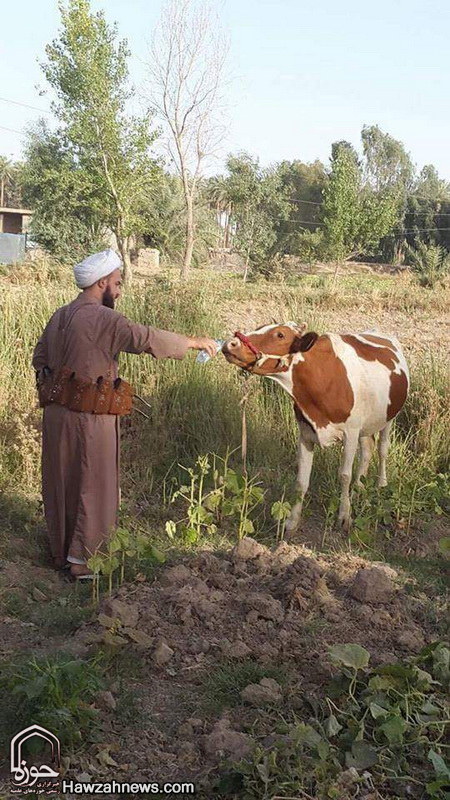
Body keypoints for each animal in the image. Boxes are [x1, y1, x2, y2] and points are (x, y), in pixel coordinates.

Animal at [223, 322, 410, 536]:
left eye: (280, 335)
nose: (231, 343)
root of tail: (377, 331)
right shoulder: (305, 434)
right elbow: (301, 481)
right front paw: (292, 522)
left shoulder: (351, 432)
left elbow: (344, 475)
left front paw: (344, 516)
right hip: (367, 423)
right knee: (367, 448)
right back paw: (359, 485)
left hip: (389, 418)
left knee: (382, 449)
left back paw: (381, 484)